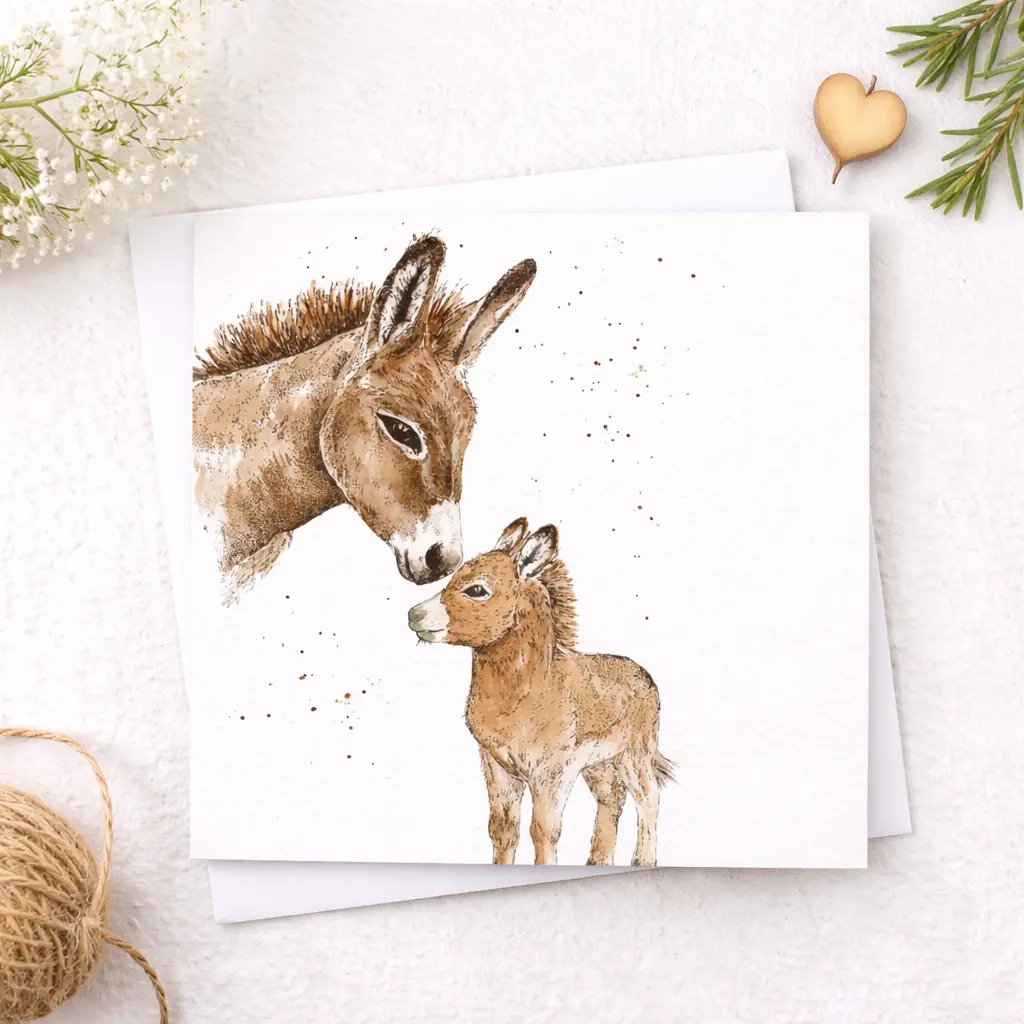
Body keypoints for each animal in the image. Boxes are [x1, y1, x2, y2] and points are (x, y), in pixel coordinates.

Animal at [408, 518, 675, 866]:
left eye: (477, 589)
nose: (413, 615)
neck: (524, 695)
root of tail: (642, 671)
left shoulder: (552, 771)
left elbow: (544, 829)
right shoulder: (496, 764)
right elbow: (503, 828)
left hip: (634, 754)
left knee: (648, 797)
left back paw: (643, 862)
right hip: (600, 764)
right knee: (612, 798)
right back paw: (597, 863)